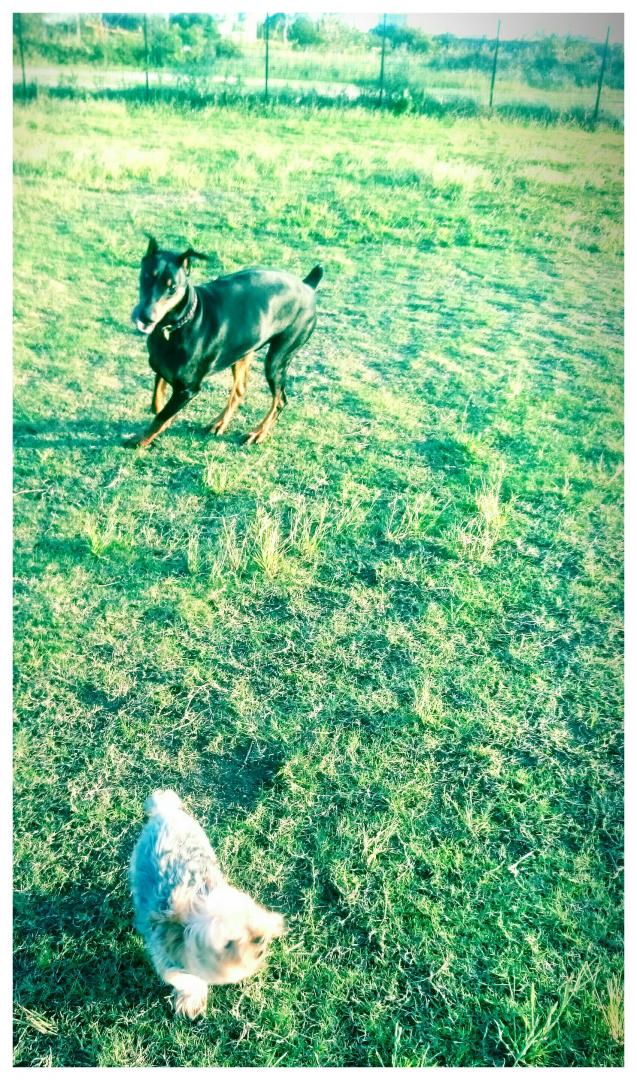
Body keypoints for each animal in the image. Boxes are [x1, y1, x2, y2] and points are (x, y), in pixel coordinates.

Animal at [127, 236, 323, 448]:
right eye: (146, 277)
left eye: (172, 287)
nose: (146, 317)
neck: (177, 324)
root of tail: (308, 286)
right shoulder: (161, 367)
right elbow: (158, 403)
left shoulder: (188, 389)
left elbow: (161, 417)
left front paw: (140, 440)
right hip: (242, 351)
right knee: (240, 389)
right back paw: (220, 423)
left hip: (278, 358)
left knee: (279, 400)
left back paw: (258, 433)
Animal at [130, 790, 285, 1018]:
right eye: (228, 943)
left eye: (248, 920)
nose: (259, 940)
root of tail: (164, 811)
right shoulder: (169, 962)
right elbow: (187, 980)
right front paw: (191, 1000)